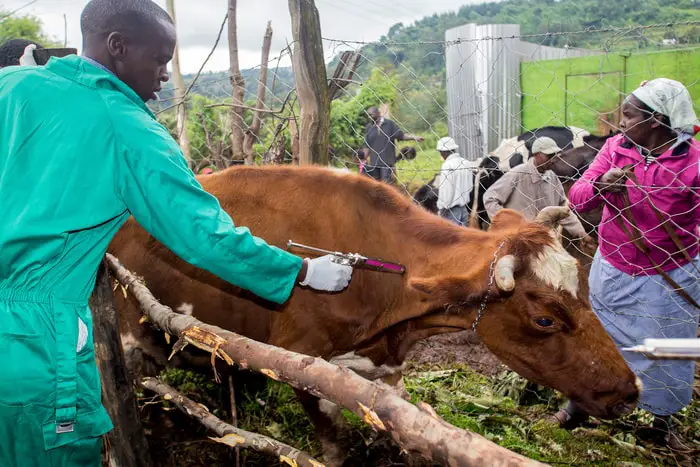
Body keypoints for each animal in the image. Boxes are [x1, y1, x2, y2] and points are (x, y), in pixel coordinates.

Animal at [109, 166, 640, 466]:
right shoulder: (302, 361)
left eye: (583, 289)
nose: (630, 391)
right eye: (545, 319)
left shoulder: (385, 369)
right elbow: (335, 446)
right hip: (130, 334)